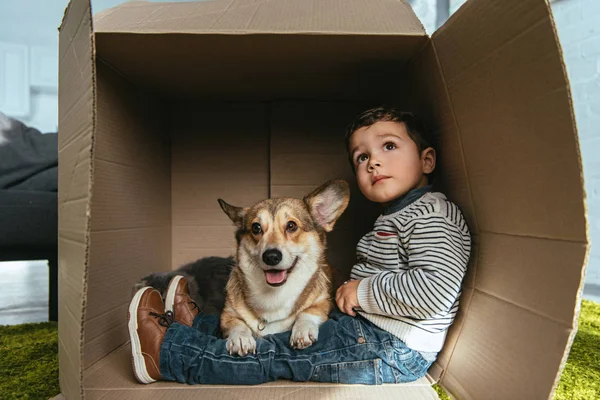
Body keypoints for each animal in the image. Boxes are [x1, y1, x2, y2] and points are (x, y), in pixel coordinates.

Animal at [217, 180, 350, 354]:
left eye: (291, 225)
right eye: (256, 228)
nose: (271, 256)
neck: (274, 294)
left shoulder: (323, 302)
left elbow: (307, 312)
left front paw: (302, 330)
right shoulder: (227, 315)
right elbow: (238, 324)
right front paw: (240, 338)